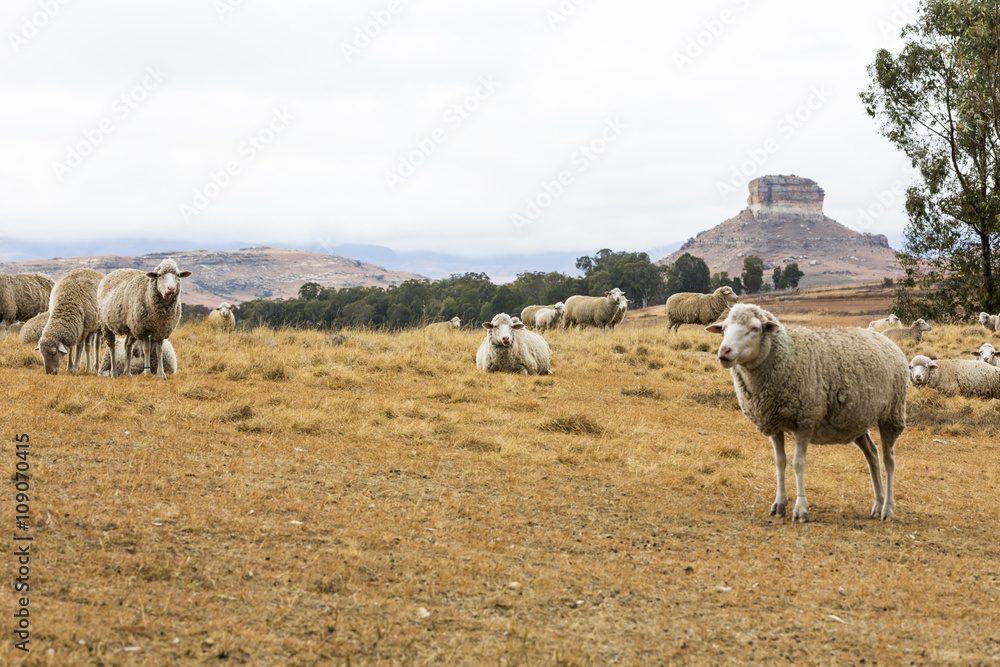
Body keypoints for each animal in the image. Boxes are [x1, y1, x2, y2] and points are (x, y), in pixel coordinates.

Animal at [706, 304, 908, 522]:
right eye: (724, 328)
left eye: (754, 328)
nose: (724, 351)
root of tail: (886, 340)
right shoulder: (774, 422)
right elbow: (780, 462)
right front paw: (779, 504)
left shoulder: (805, 420)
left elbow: (798, 463)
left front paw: (801, 509)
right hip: (857, 420)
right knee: (872, 454)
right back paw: (878, 504)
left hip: (892, 413)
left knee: (889, 460)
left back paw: (888, 509)